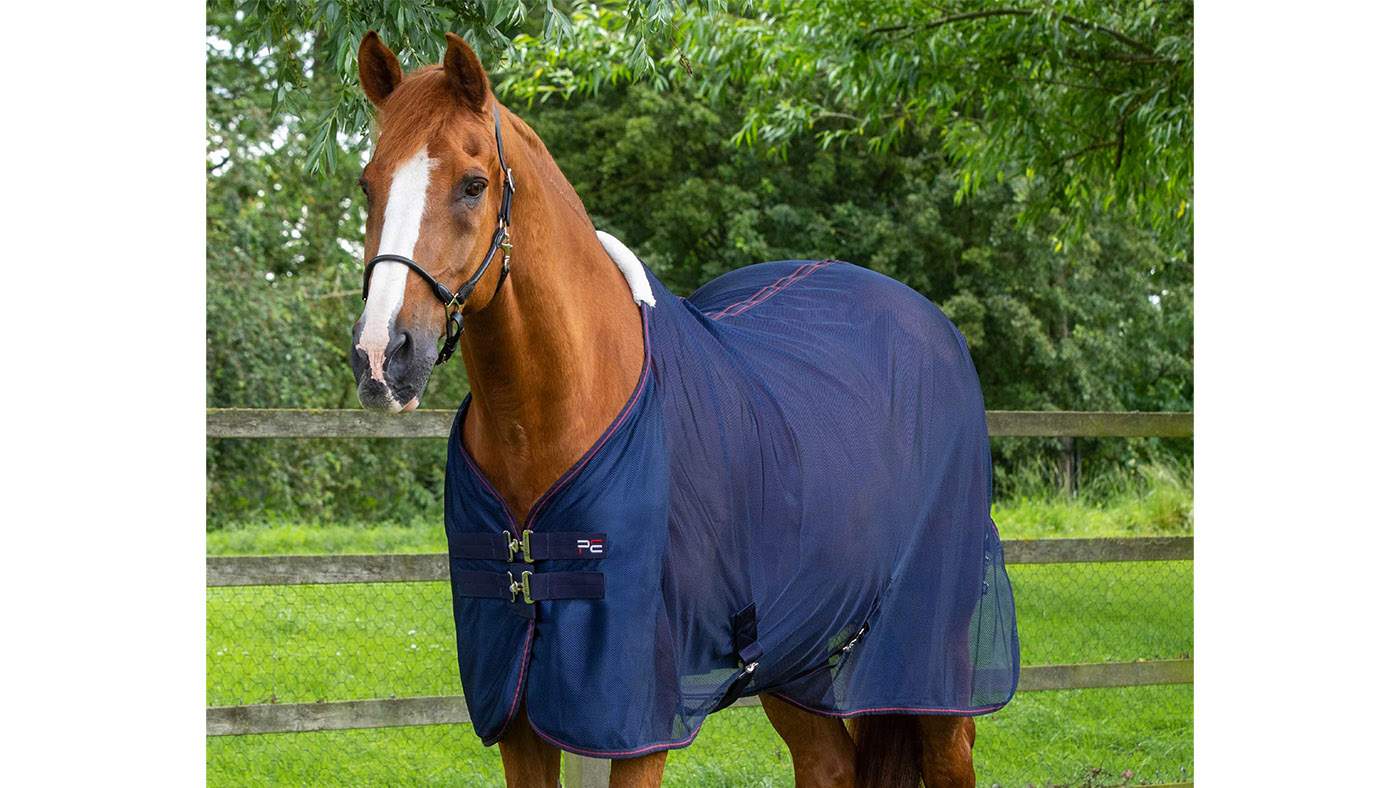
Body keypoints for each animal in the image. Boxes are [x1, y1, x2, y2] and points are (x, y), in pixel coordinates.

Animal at [347, 31, 1017, 788]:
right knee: (828, 764)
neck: (557, 416)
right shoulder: (524, 708)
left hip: (925, 665)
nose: (382, 356)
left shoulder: (635, 716)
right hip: (798, 653)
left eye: (473, 184)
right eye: (368, 183)